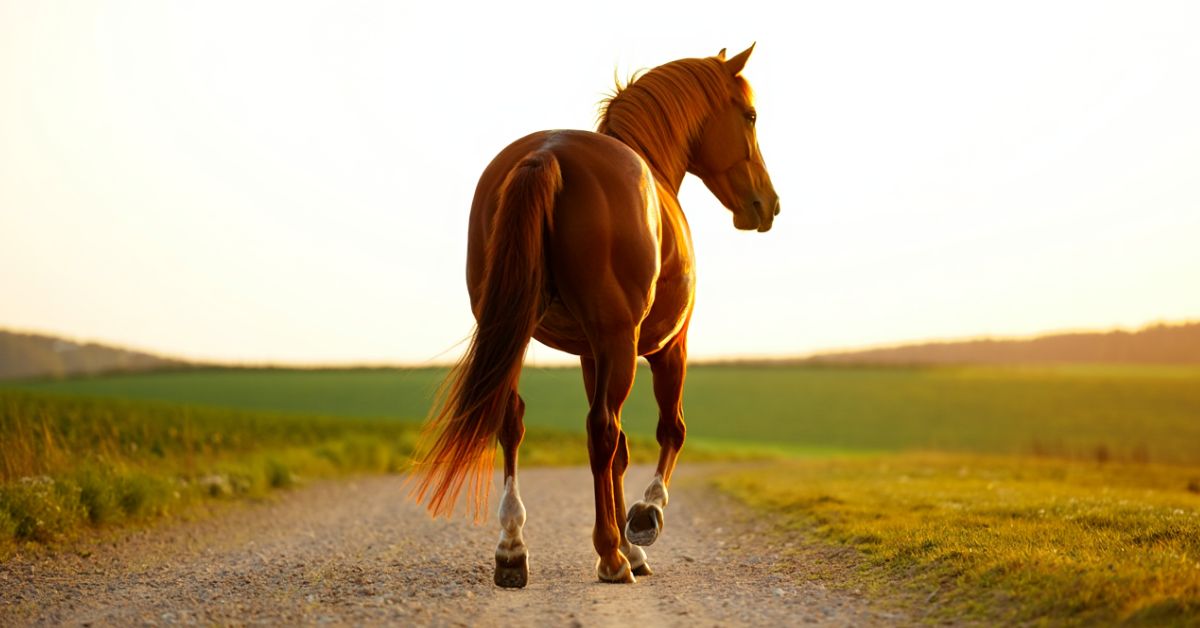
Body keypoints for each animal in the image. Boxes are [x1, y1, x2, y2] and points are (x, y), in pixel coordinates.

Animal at [411, 44, 779, 587]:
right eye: (750, 116)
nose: (767, 204)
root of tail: (547, 154)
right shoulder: (667, 345)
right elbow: (667, 431)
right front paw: (643, 522)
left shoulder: (590, 353)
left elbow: (620, 451)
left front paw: (632, 544)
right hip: (620, 342)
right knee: (601, 430)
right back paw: (609, 555)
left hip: (513, 330)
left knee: (515, 420)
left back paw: (513, 549)